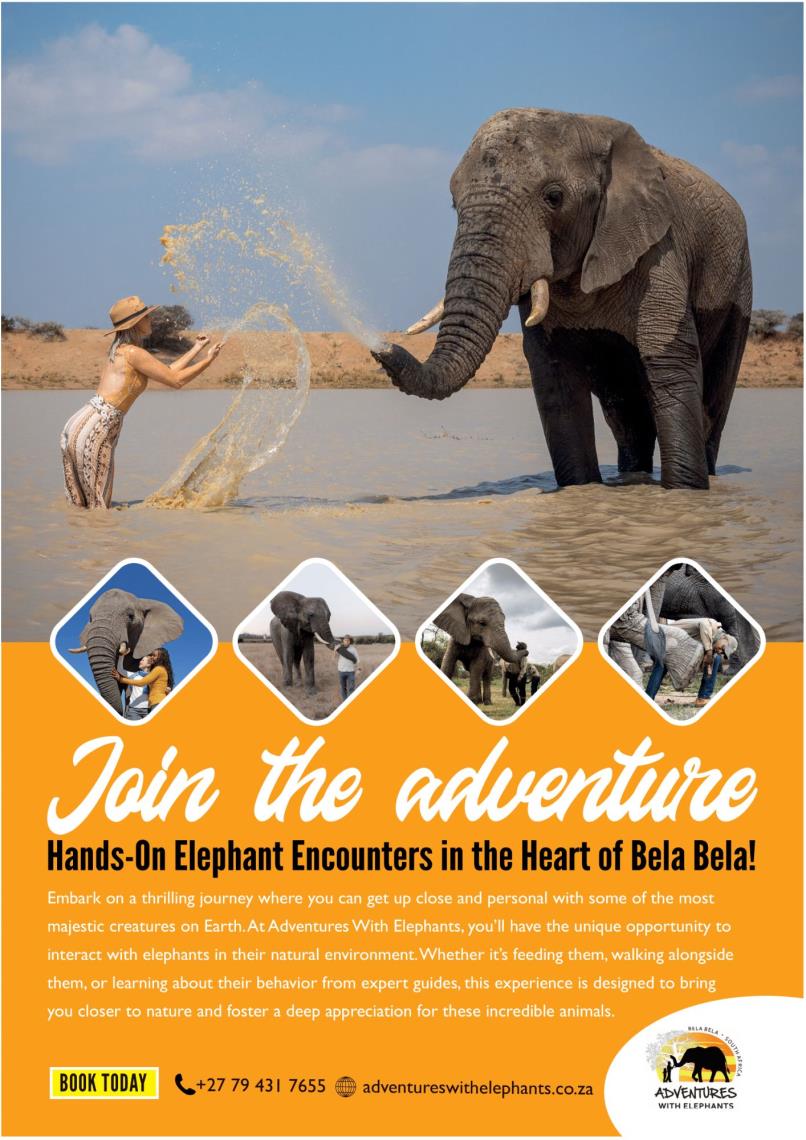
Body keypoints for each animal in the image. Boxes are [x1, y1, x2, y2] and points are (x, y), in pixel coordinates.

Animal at [373, 108, 751, 490]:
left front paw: (685, 492)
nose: (383, 347)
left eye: (554, 197)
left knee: (711, 405)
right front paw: (582, 489)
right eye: (454, 202)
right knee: (626, 416)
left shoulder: (660, 250)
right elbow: (555, 379)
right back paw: (633, 476)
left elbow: (671, 365)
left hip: (738, 289)